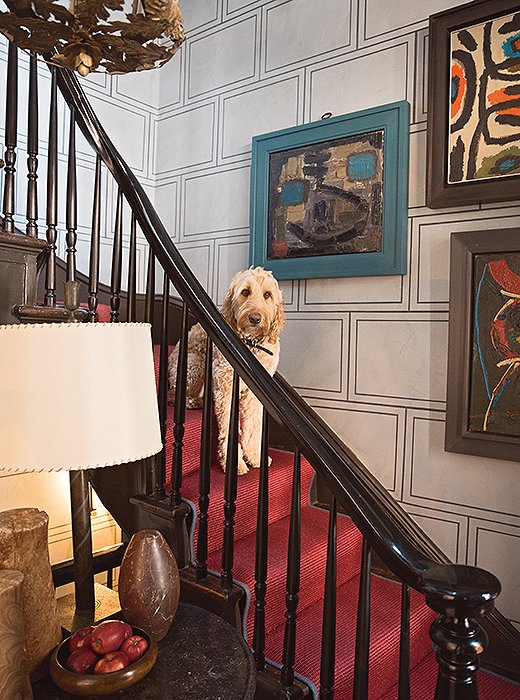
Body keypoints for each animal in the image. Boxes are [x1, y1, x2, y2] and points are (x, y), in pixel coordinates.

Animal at [169, 268, 284, 476]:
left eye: (267, 295)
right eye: (245, 292)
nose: (255, 318)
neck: (250, 345)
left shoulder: (255, 396)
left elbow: (253, 426)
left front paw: (254, 456)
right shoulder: (225, 387)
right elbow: (228, 428)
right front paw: (234, 463)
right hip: (194, 363)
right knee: (172, 395)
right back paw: (192, 401)